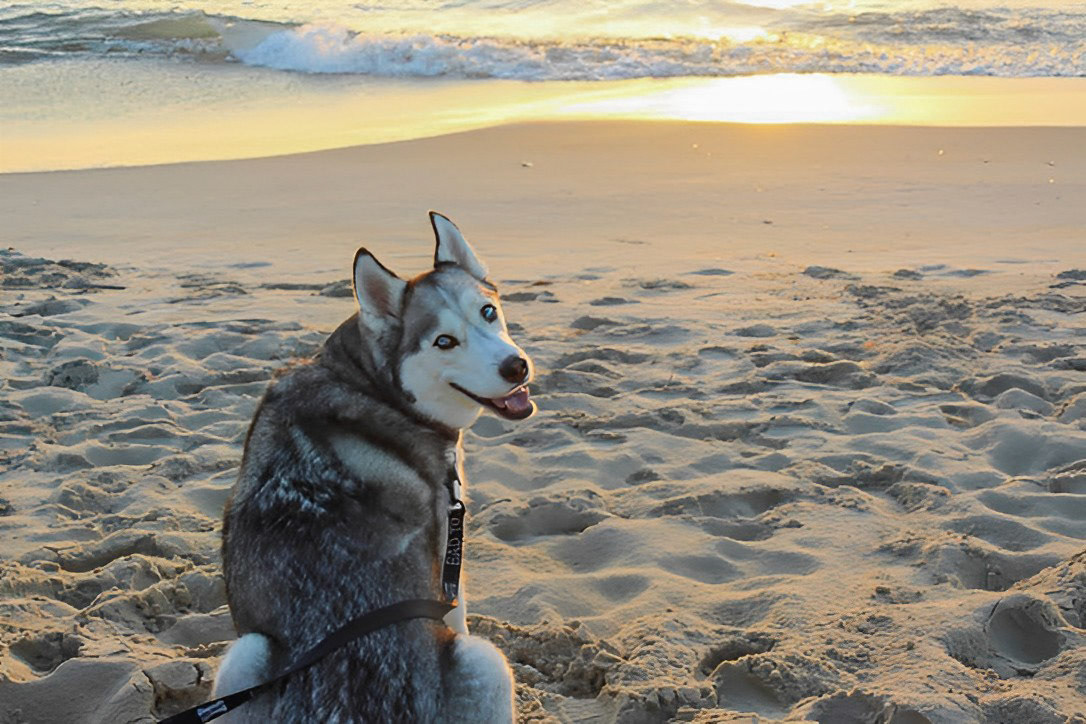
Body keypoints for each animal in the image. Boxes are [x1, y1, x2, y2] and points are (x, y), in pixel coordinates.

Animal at [212, 213, 534, 722]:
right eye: (444, 341)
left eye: (488, 312)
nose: (515, 367)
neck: (365, 382)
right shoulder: (447, 550)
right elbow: (455, 609)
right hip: (488, 662)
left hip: (245, 655)